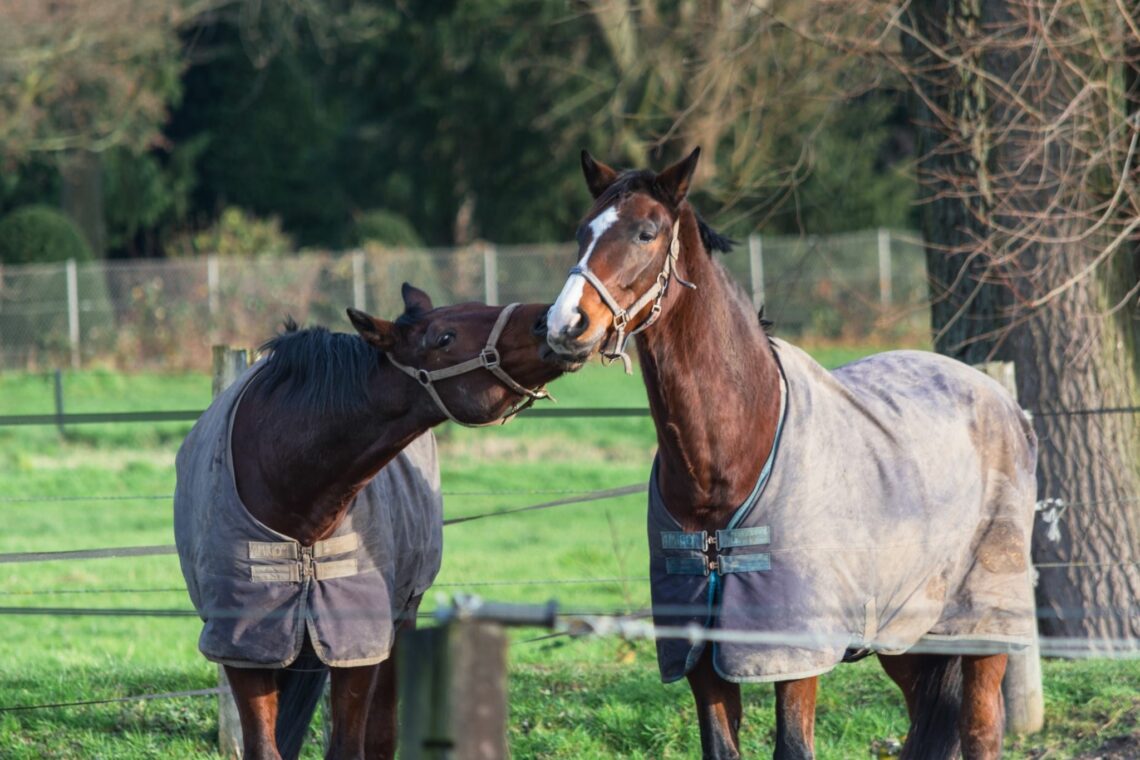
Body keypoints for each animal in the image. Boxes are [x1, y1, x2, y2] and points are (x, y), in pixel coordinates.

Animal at [174, 283, 579, 760]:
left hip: (400, 623)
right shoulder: (245, 647)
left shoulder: (358, 643)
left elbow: (353, 745)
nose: (553, 319)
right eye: (444, 337)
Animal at [543, 149, 1038, 759]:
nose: (565, 325)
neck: (727, 462)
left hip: (983, 626)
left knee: (980, 729)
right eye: (582, 231)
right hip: (904, 631)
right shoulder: (702, 655)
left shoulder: (795, 654)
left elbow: (793, 745)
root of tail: (1003, 401)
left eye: (646, 232)